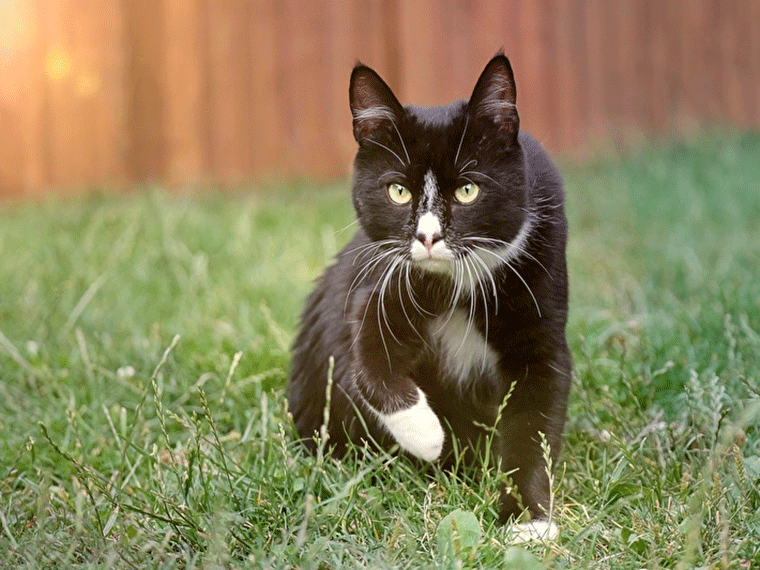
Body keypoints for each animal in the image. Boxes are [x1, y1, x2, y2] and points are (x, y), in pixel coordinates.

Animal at [290, 53, 568, 536]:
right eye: (399, 191)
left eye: (467, 190)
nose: (428, 237)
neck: (459, 282)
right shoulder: (384, 280)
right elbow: (367, 357)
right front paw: (426, 436)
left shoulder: (542, 304)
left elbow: (536, 412)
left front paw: (527, 521)